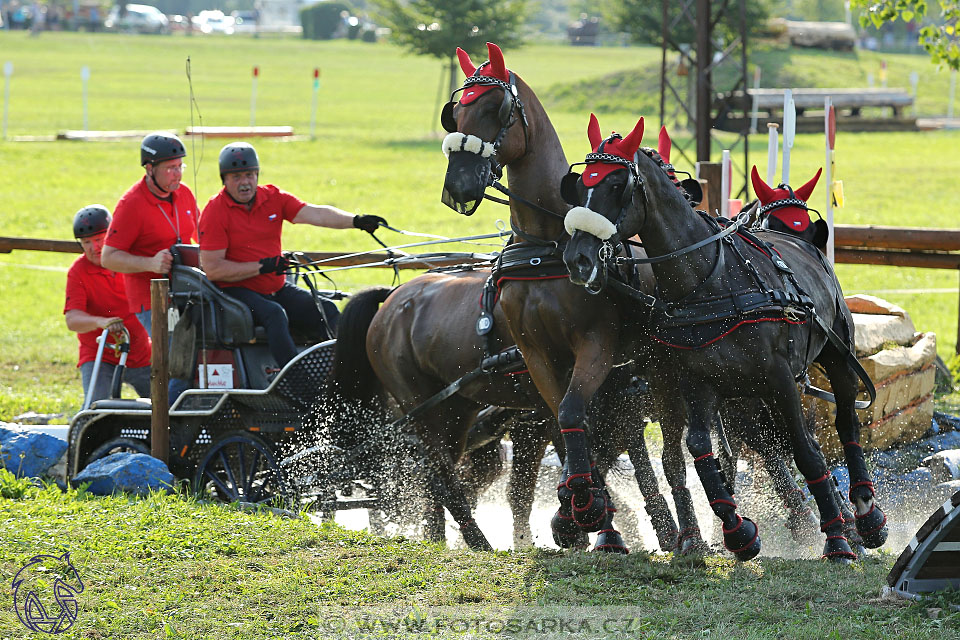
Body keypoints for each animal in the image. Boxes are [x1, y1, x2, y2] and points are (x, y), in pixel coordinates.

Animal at [564, 114, 884, 560]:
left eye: (616, 186)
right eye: (582, 184)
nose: (577, 257)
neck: (708, 280)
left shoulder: (780, 378)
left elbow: (804, 452)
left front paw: (836, 538)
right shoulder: (698, 381)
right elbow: (701, 449)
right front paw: (736, 530)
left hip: (836, 359)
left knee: (845, 424)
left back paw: (865, 514)